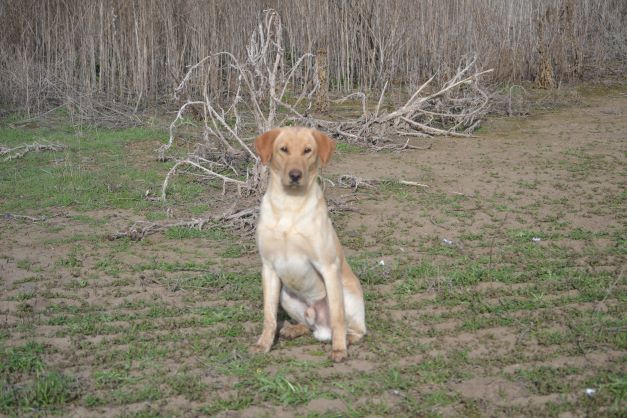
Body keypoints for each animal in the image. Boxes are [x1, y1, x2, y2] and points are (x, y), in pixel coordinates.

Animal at [250, 126, 368, 362]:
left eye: (307, 151)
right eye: (283, 149)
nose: (295, 175)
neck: (289, 204)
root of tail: (322, 328)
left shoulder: (328, 266)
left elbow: (338, 317)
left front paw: (339, 349)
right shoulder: (268, 268)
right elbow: (269, 316)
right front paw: (264, 344)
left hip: (346, 294)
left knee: (354, 329)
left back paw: (345, 339)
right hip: (286, 295)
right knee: (308, 325)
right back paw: (294, 329)